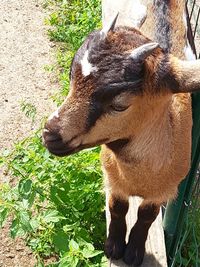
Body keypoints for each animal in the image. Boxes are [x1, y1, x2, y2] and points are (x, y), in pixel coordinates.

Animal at [43, 1, 200, 266]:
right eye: (71, 77)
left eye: (119, 105)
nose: (49, 135)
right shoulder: (111, 177)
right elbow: (117, 208)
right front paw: (114, 247)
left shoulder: (165, 190)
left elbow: (146, 215)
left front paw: (133, 253)